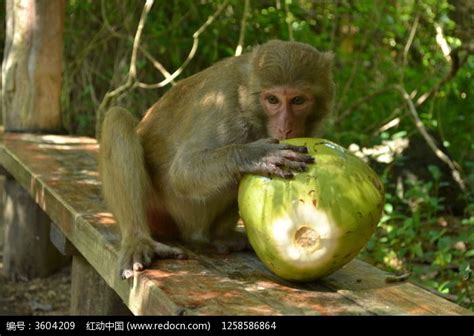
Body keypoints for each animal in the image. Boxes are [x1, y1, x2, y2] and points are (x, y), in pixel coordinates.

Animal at [99, 40, 336, 280]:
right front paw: (257, 155)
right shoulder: (224, 110)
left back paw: (221, 236)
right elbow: (183, 171)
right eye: (272, 100)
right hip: (157, 212)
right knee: (117, 119)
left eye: (298, 100)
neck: (247, 100)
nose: (286, 127)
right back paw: (137, 240)